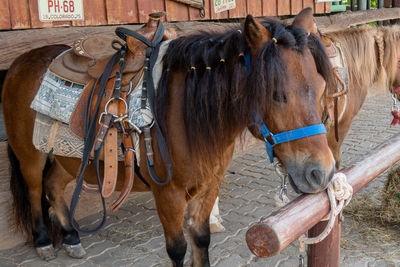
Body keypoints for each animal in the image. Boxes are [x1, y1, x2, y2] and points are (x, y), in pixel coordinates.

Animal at [2, 11, 334, 266]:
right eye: (277, 94)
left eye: (321, 89)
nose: (322, 173)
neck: (185, 113)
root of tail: (19, 63)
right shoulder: (169, 194)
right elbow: (177, 249)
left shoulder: (209, 185)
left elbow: (201, 239)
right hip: (29, 156)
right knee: (35, 189)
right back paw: (44, 242)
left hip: (66, 158)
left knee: (54, 186)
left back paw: (71, 237)